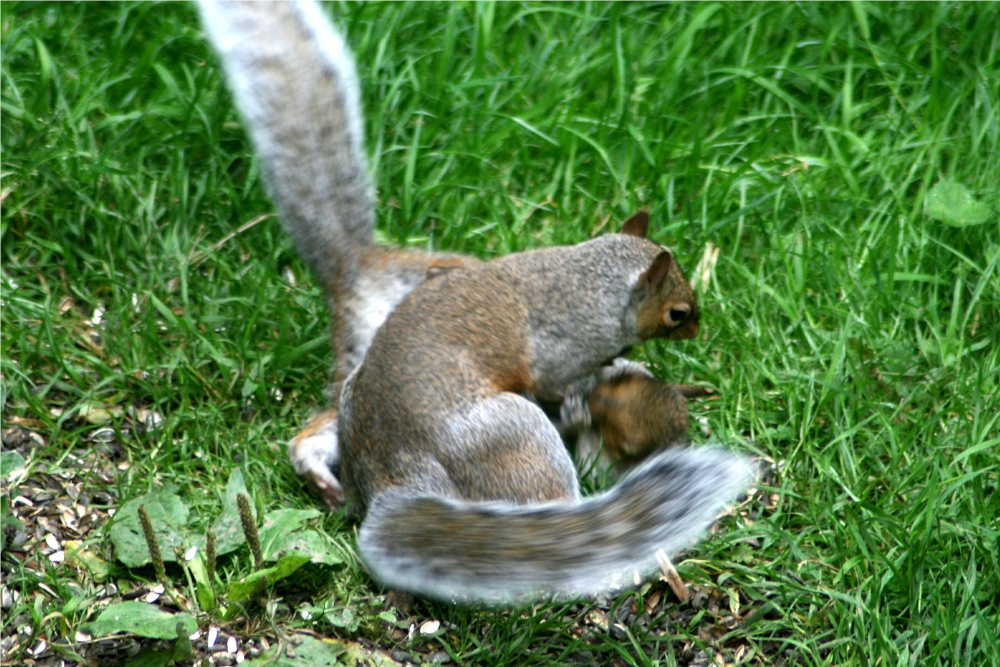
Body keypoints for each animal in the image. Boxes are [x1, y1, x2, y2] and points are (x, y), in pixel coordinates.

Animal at [338, 213, 754, 604]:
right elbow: (562, 382)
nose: (696, 331)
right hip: (513, 436)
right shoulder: (561, 355)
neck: (589, 283)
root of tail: (392, 474)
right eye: (677, 313)